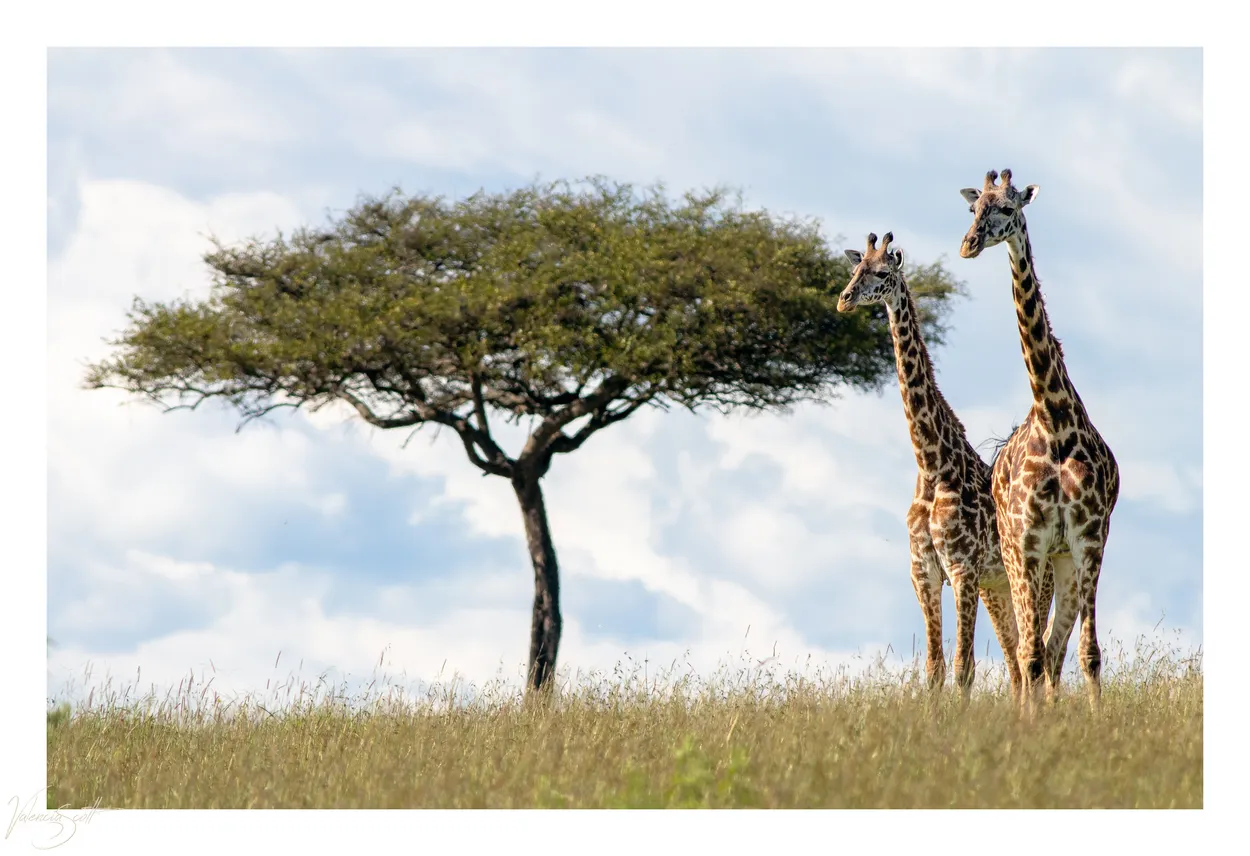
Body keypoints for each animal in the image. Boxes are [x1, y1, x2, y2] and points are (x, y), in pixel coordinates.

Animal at [837, 231, 1026, 702]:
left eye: (881, 273)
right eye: (854, 269)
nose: (844, 300)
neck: (932, 465)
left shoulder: (961, 569)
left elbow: (964, 668)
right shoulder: (922, 572)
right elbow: (934, 669)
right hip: (996, 587)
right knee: (1016, 661)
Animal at [958, 169, 1120, 714]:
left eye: (1008, 208)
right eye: (974, 209)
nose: (968, 245)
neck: (1055, 422)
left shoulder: (1090, 538)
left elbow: (1088, 654)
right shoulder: (1028, 539)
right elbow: (1029, 653)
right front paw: (1031, 727)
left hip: (1062, 559)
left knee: (1050, 648)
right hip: (1015, 553)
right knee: (1028, 650)